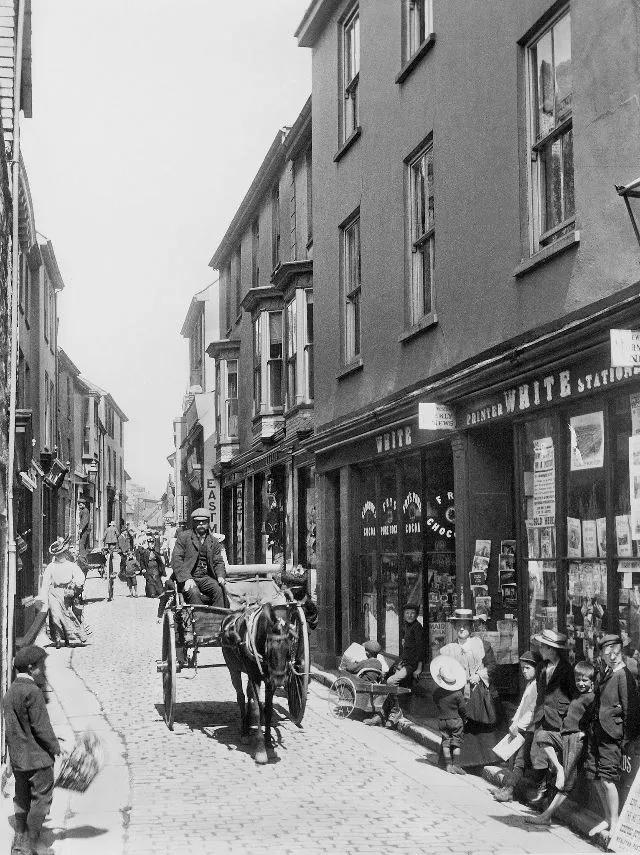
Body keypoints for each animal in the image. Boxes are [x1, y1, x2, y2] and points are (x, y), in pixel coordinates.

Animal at [221, 600, 288, 764]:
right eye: (270, 648)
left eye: (289, 647)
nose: (280, 680)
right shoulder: (255, 676)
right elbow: (258, 710)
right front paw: (260, 749)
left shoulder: (268, 680)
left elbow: (268, 709)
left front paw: (269, 744)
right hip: (233, 669)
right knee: (241, 696)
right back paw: (244, 733)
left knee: (249, 694)